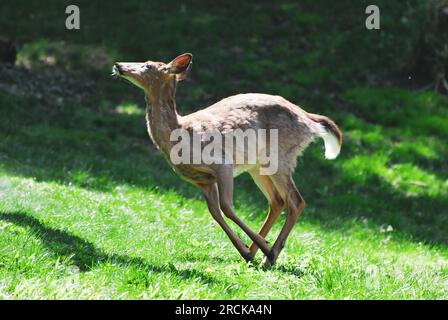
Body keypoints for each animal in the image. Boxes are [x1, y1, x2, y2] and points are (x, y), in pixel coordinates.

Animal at [113, 53, 344, 268]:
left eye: (147, 65)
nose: (118, 65)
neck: (180, 134)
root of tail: (309, 120)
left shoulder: (222, 163)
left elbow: (226, 207)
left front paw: (259, 249)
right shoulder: (202, 180)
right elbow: (214, 212)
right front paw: (247, 251)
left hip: (282, 156)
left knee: (295, 201)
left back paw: (269, 255)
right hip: (258, 166)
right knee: (277, 201)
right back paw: (260, 252)